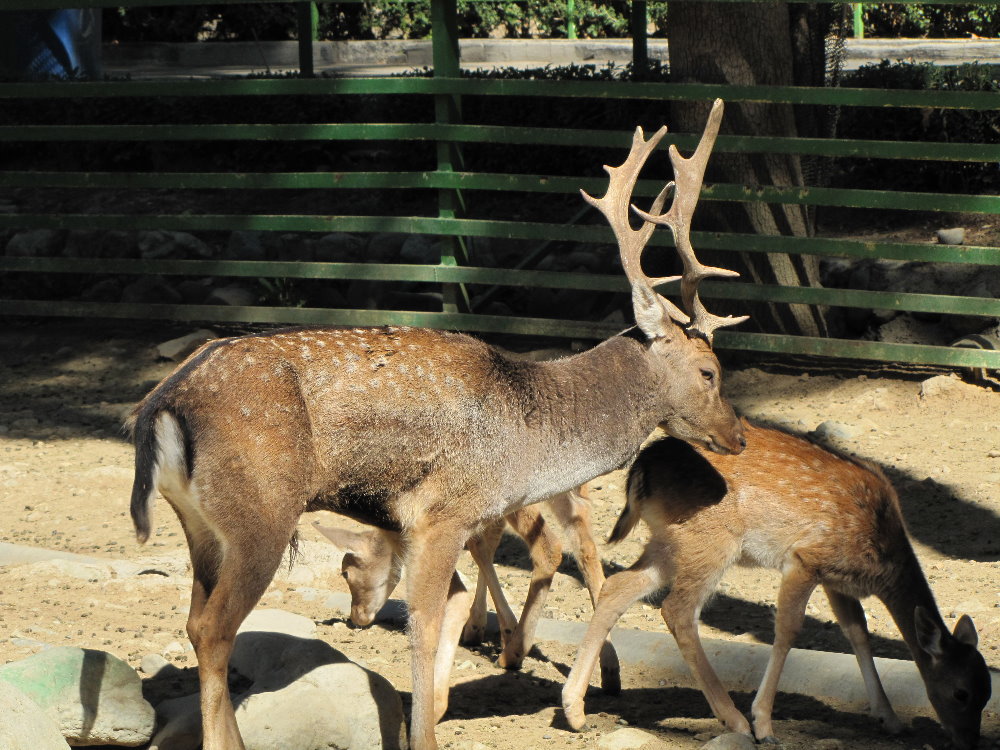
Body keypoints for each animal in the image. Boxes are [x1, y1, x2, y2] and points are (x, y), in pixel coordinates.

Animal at [315, 485, 620, 686]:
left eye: (346, 573)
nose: (357, 616)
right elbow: (488, 538)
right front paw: (478, 627)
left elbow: (478, 543)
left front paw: (503, 629)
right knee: (584, 538)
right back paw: (608, 670)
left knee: (551, 546)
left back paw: (513, 653)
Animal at [561, 419, 992, 750]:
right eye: (961, 693)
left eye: (987, 693)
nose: (969, 742)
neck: (881, 549)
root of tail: (641, 470)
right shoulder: (806, 558)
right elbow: (788, 629)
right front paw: (764, 724)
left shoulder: (836, 578)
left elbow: (858, 632)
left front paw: (890, 718)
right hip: (711, 540)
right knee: (678, 609)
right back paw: (734, 719)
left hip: (670, 541)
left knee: (618, 587)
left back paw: (574, 710)